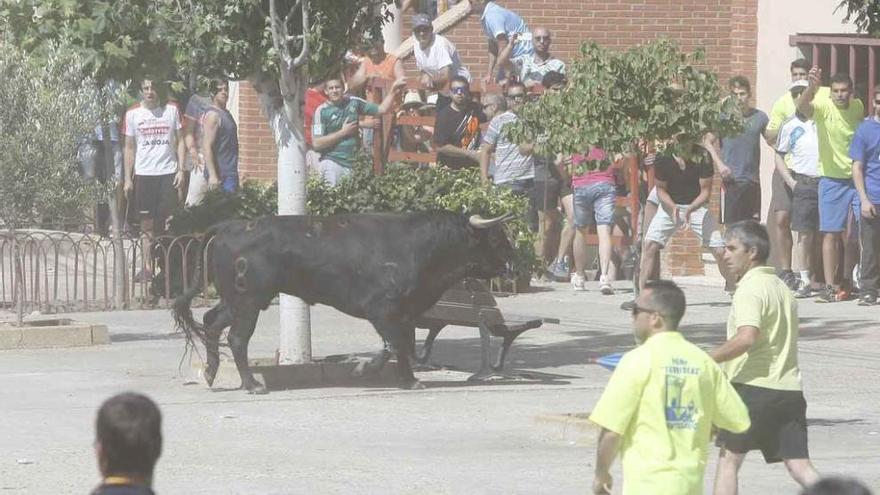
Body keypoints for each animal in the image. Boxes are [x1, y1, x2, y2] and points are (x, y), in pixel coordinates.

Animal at [173, 211, 516, 394]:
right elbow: (393, 345)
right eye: (496, 238)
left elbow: (399, 346)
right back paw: (252, 384)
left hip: (235, 300)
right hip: (248, 301)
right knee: (237, 337)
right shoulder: (383, 310)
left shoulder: (403, 314)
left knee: (212, 323)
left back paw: (211, 374)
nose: (512, 263)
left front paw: (406, 379)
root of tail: (229, 226)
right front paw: (366, 371)